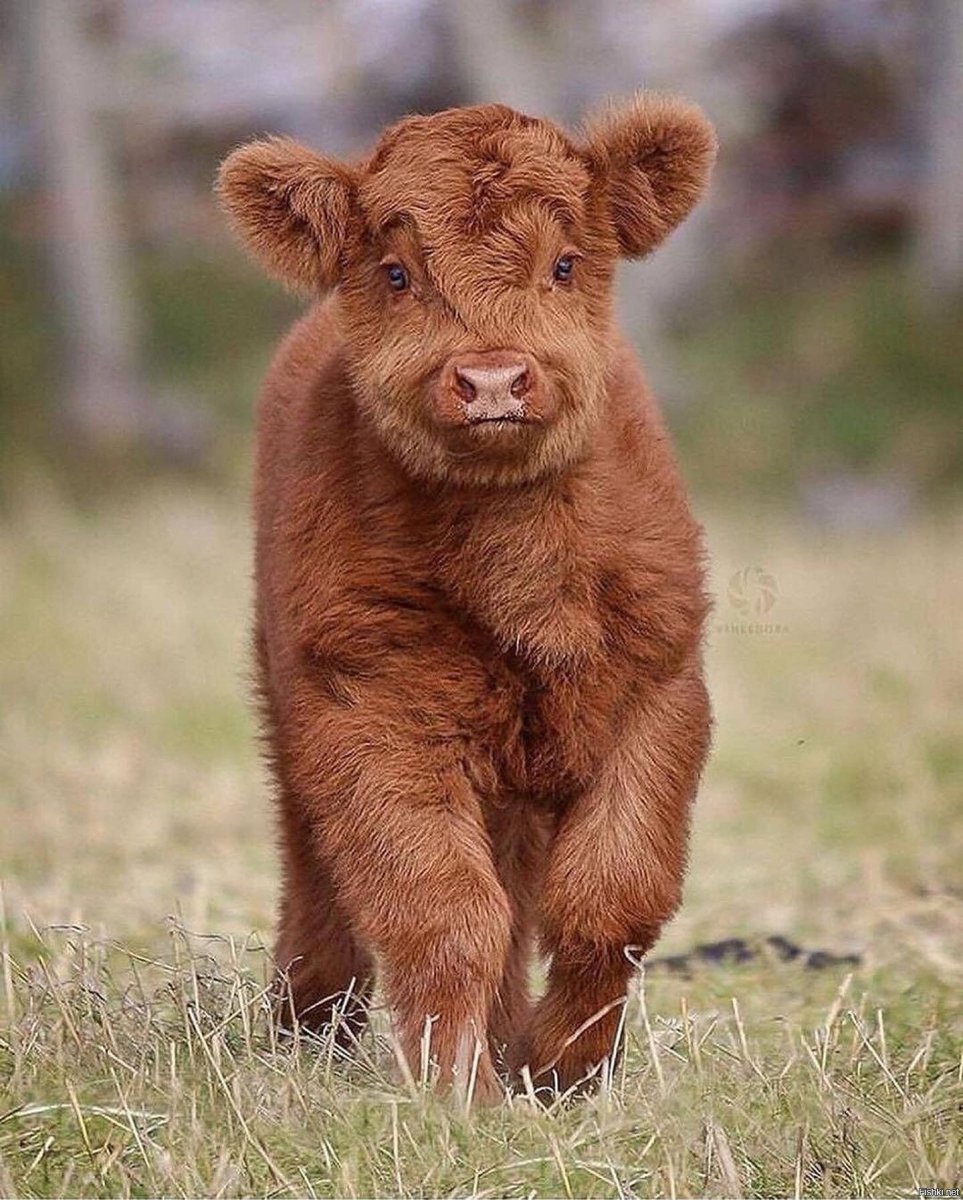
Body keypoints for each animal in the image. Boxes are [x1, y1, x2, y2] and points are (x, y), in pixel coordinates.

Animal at [216, 94, 715, 1103]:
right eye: (397, 271)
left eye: (564, 263)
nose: (491, 379)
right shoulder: (368, 708)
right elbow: (441, 910)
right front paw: (454, 1092)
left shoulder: (660, 692)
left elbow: (612, 897)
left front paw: (563, 1074)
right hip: (292, 706)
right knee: (318, 871)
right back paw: (308, 1030)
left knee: (522, 895)